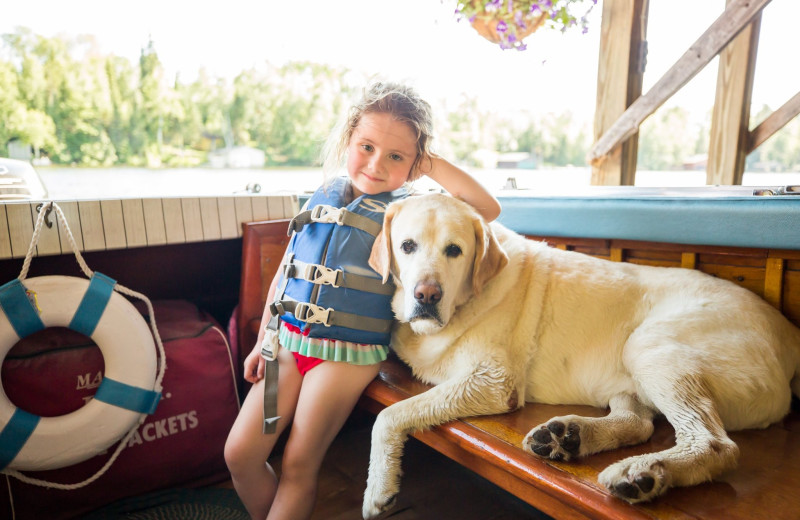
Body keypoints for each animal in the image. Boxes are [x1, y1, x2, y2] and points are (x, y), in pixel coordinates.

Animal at [362, 193, 800, 516]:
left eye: (454, 250)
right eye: (407, 246)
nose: (426, 295)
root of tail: (789, 330)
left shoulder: (493, 381)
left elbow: (390, 415)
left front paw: (378, 487)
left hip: (650, 344)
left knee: (714, 444)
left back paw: (644, 471)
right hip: (632, 371)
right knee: (637, 423)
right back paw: (569, 437)